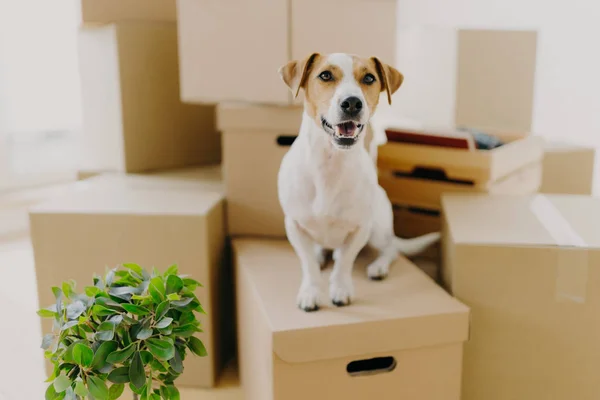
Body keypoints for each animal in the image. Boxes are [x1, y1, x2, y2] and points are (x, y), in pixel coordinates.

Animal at [276, 51, 440, 310]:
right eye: (325, 75)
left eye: (369, 78)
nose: (352, 102)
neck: (330, 162)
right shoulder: (294, 226)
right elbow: (308, 264)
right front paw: (311, 291)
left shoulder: (361, 228)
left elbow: (344, 261)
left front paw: (340, 289)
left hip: (378, 230)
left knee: (391, 249)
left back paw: (378, 266)